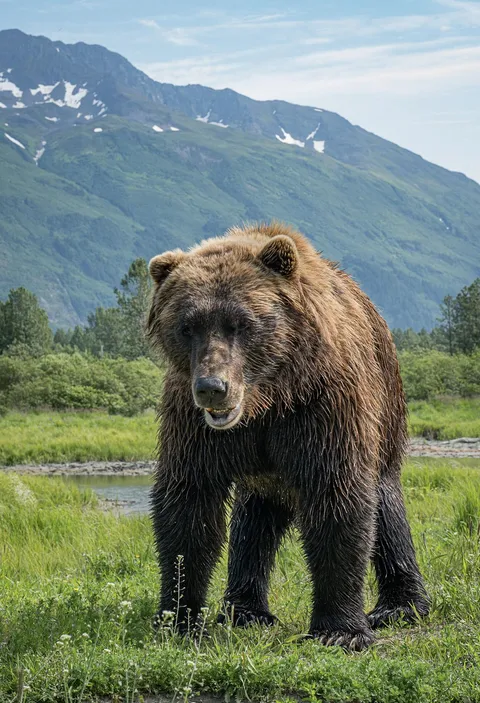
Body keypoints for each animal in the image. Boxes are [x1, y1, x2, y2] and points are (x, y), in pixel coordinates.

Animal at [146, 222, 429, 651]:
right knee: (253, 524)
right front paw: (180, 617)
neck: (266, 401)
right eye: (187, 326)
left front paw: (340, 630)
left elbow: (336, 496)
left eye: (242, 323)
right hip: (262, 476)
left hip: (386, 406)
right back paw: (244, 610)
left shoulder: (322, 405)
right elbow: (189, 504)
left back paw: (400, 606)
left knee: (385, 504)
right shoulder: (194, 425)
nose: (212, 388)